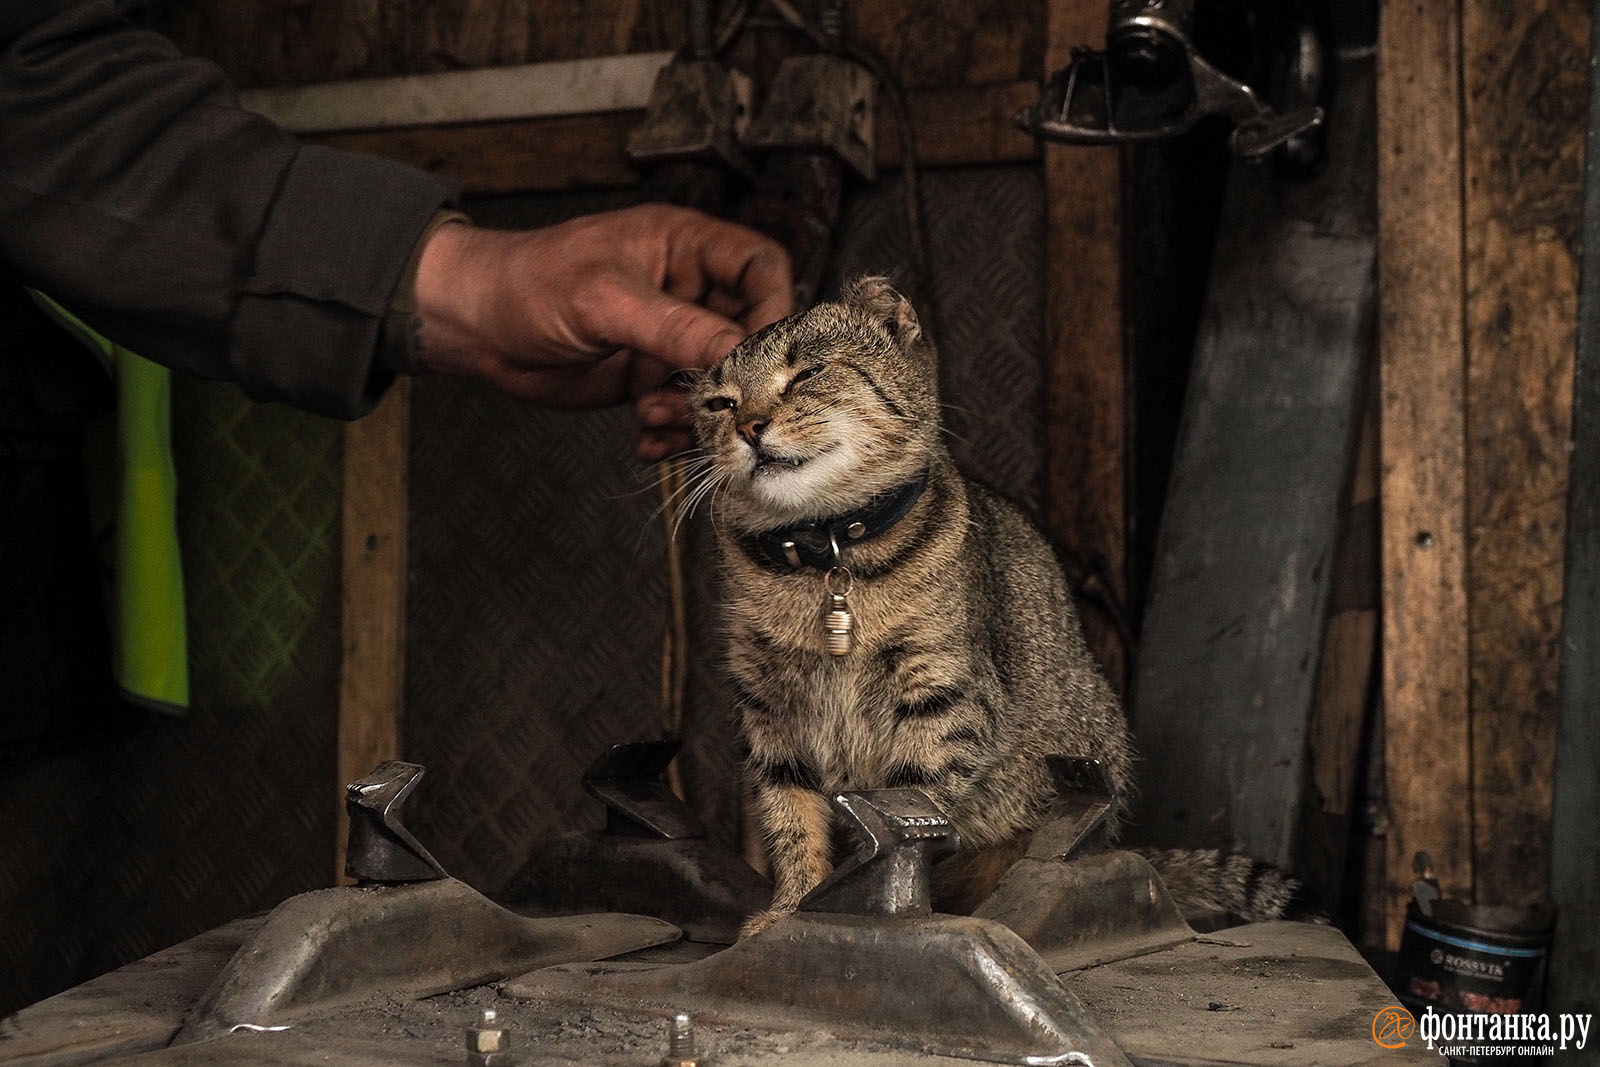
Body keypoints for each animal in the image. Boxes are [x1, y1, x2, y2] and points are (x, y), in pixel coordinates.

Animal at [688, 275, 1286, 934]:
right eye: (719, 404)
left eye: (808, 373)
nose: (749, 426)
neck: (827, 560)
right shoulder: (766, 708)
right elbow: (791, 817)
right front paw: (790, 908)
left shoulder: (945, 695)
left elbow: (911, 801)